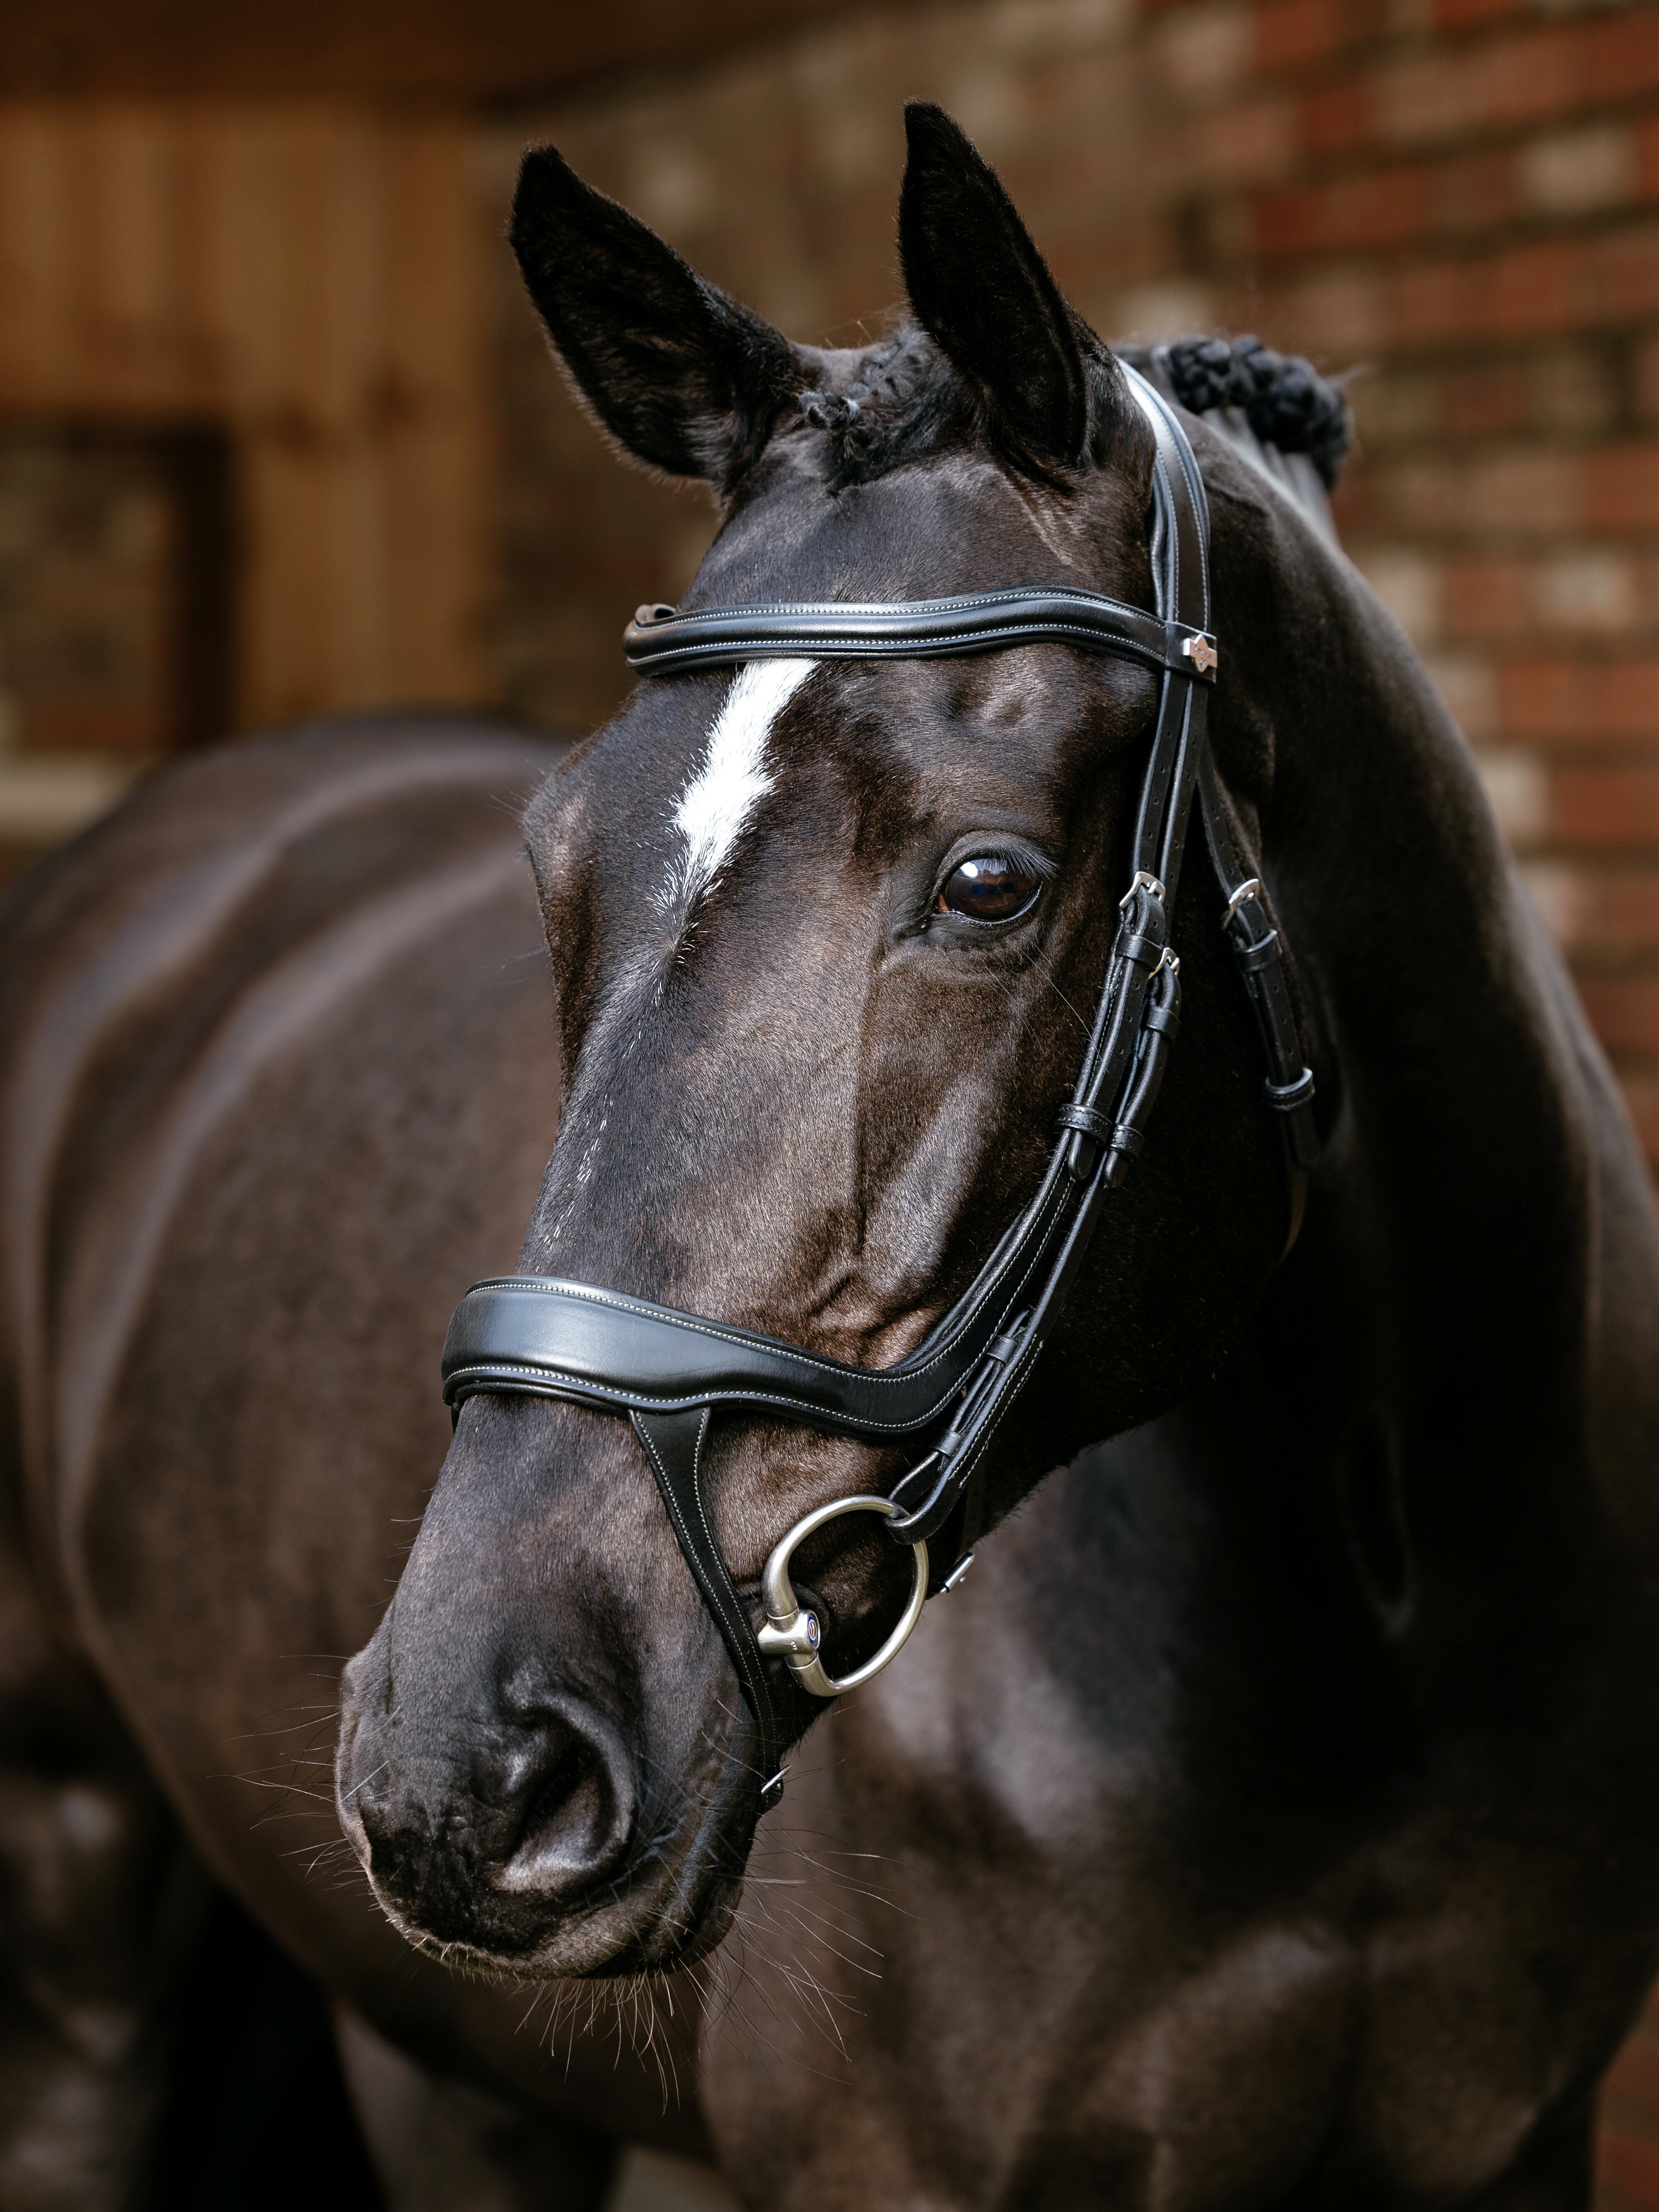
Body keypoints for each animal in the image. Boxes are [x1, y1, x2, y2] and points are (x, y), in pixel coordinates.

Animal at [4, 100, 1659, 2212]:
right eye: (554, 862)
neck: (1385, 1618)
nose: (469, 1751)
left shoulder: (1517, 2136)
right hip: (69, 1860)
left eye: (986, 881)